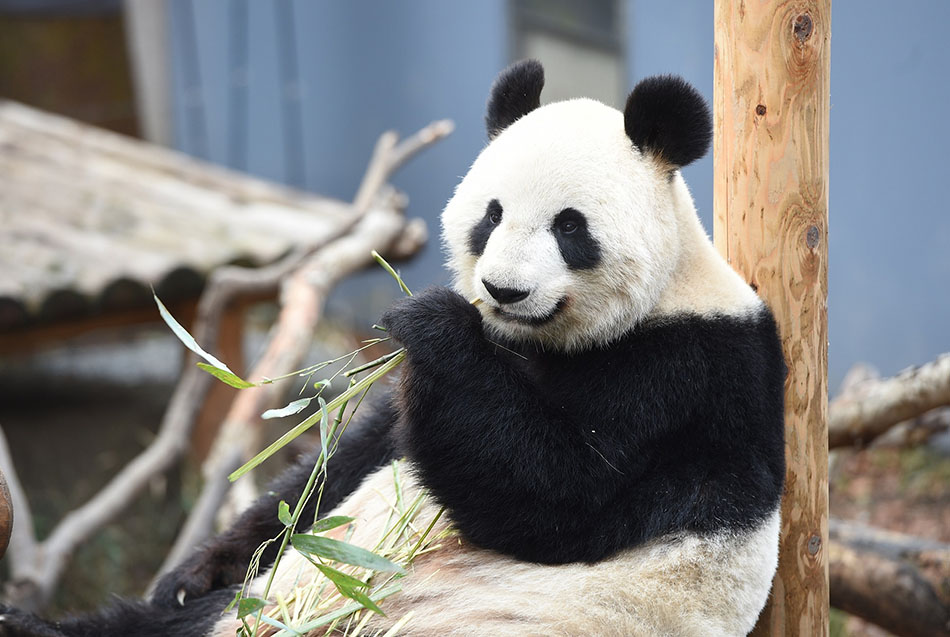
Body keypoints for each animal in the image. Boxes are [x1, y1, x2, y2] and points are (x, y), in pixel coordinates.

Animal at [0, 60, 786, 637]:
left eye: (570, 227)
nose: (501, 290)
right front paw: (193, 570)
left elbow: (555, 495)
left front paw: (432, 320)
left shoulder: (682, 375)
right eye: (491, 215)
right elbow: (337, 467)